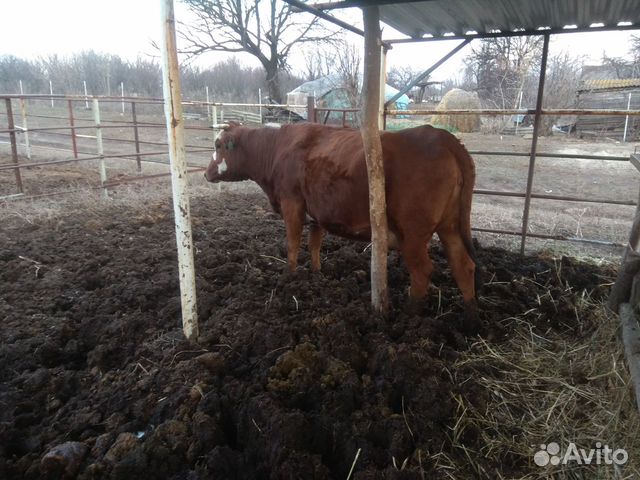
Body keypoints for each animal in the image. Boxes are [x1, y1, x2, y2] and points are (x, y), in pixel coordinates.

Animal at [206, 122, 480, 320]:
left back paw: (409, 314)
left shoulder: (292, 203)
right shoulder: (316, 212)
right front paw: (316, 273)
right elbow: (314, 243)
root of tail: (439, 135)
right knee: (463, 265)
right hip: (449, 226)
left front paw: (288, 276)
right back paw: (470, 316)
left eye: (218, 144)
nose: (207, 173)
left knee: (422, 271)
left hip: (413, 233)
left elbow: (293, 243)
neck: (276, 148)